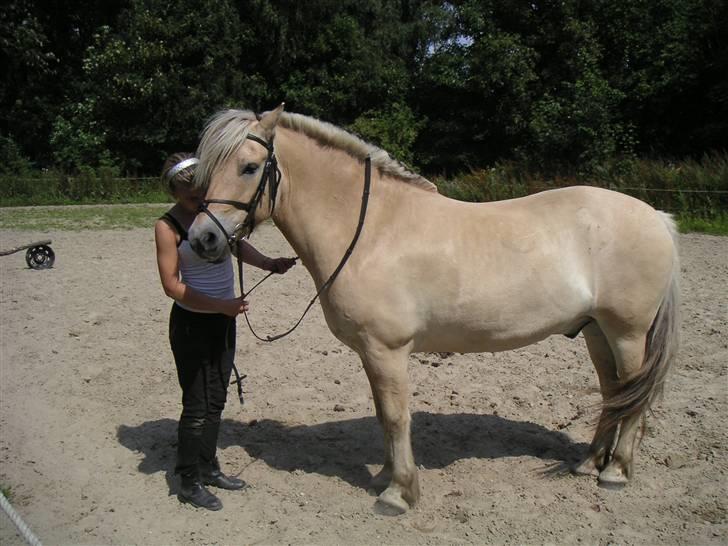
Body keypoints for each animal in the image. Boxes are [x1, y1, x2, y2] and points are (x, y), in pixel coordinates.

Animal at [186, 104, 676, 512]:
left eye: (249, 167)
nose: (202, 239)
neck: (371, 230)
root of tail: (656, 216)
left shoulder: (387, 349)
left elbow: (396, 416)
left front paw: (399, 493)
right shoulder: (371, 352)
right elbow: (384, 415)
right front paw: (386, 475)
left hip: (626, 333)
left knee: (633, 395)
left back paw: (615, 472)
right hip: (595, 331)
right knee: (614, 391)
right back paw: (589, 463)